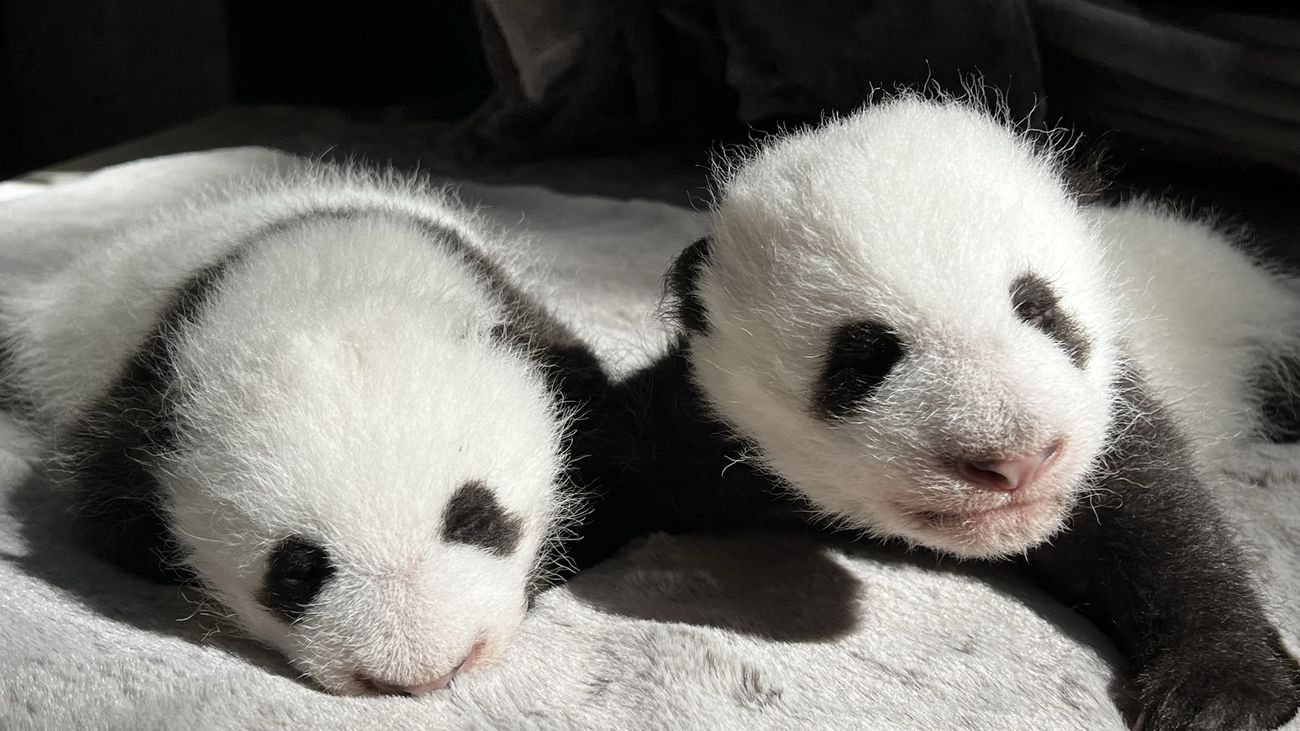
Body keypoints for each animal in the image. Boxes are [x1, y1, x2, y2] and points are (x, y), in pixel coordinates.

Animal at [593, 96, 1300, 729]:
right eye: (866, 358)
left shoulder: (1112, 404)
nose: (1017, 463)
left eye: (1040, 310)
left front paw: (1225, 690)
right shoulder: (712, 425)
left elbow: (1164, 524)